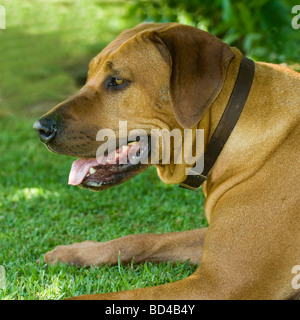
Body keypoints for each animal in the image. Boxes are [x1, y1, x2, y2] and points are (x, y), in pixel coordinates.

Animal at [33, 23, 300, 300]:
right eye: (88, 76)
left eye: (117, 81)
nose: (40, 129)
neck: (228, 131)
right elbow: (143, 238)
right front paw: (74, 252)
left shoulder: (219, 284)